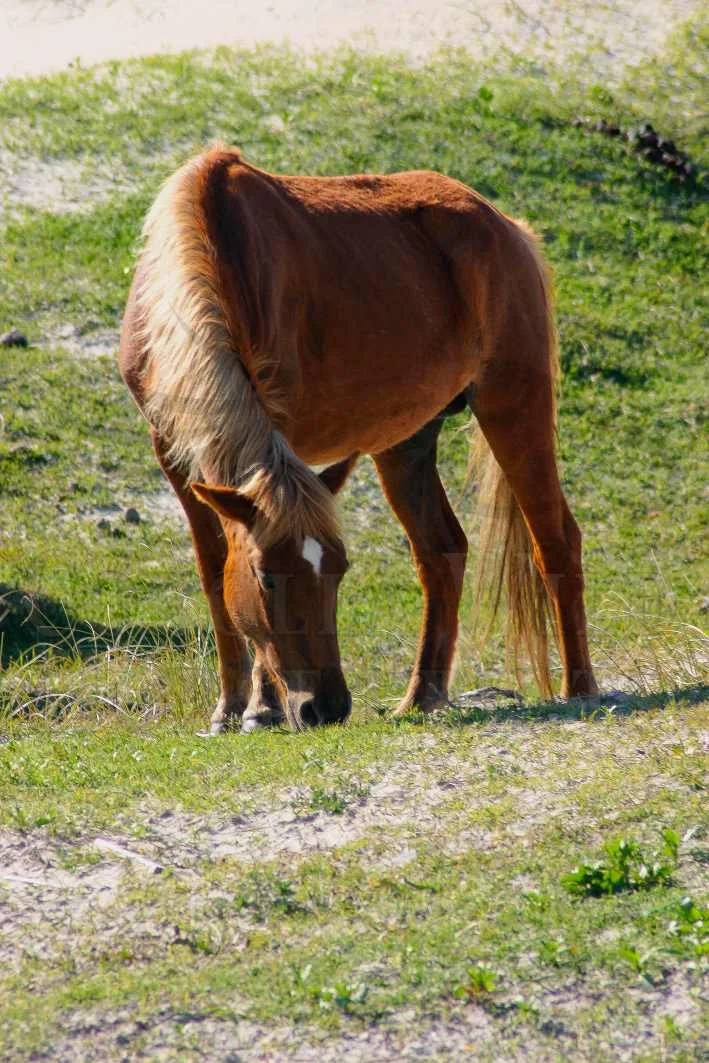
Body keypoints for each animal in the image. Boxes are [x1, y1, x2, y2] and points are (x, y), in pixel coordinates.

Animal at [119, 144, 598, 733]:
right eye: (267, 578)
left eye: (340, 571)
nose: (327, 707)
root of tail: (508, 229)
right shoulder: (173, 452)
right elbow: (214, 573)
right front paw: (231, 706)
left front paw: (261, 706)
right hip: (406, 442)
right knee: (442, 553)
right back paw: (421, 696)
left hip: (513, 407)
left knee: (555, 541)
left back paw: (580, 688)